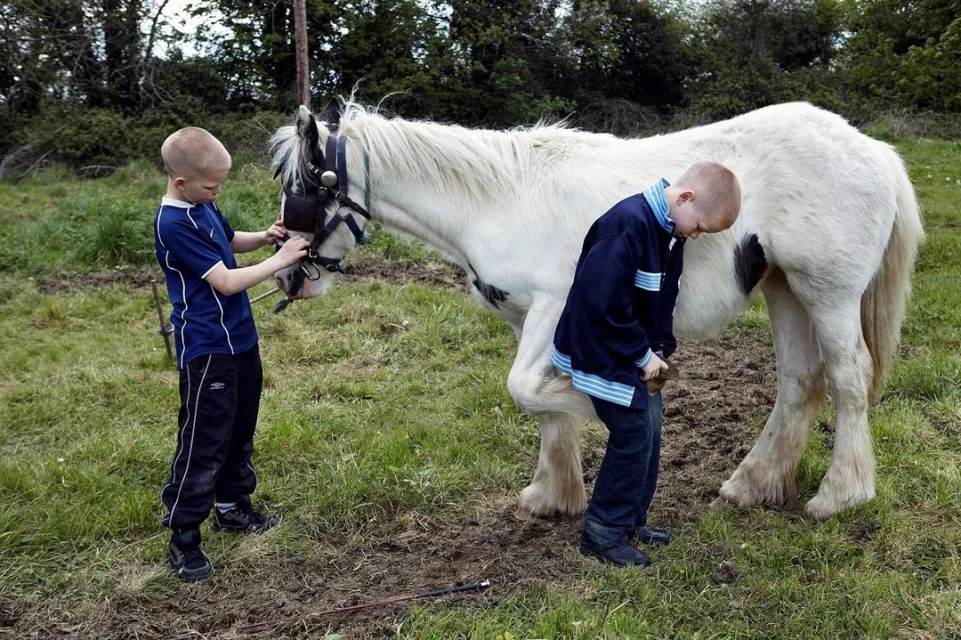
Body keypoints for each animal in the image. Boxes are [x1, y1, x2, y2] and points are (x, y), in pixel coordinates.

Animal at [270, 98, 923, 520]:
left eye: (306, 185)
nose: (289, 276)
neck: (501, 200)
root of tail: (874, 150)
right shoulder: (526, 318)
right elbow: (536, 401)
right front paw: (552, 495)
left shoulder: (555, 308)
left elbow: (528, 389)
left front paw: (598, 405)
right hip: (784, 289)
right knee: (799, 381)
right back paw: (753, 485)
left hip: (828, 294)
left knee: (849, 379)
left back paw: (839, 496)